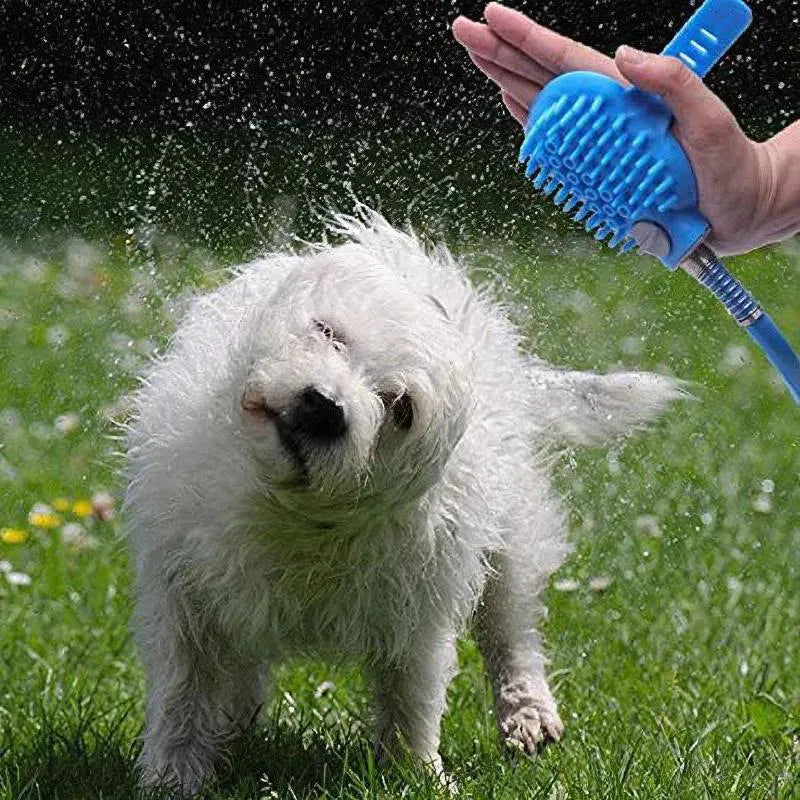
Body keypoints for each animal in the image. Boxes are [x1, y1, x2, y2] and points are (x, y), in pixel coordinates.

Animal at [123, 209, 680, 792]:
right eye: (328, 333)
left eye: (400, 408)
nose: (326, 407)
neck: (294, 515)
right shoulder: (185, 596)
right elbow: (184, 693)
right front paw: (173, 775)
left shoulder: (420, 615)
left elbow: (413, 699)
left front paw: (418, 776)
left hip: (509, 544)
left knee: (511, 631)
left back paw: (526, 709)